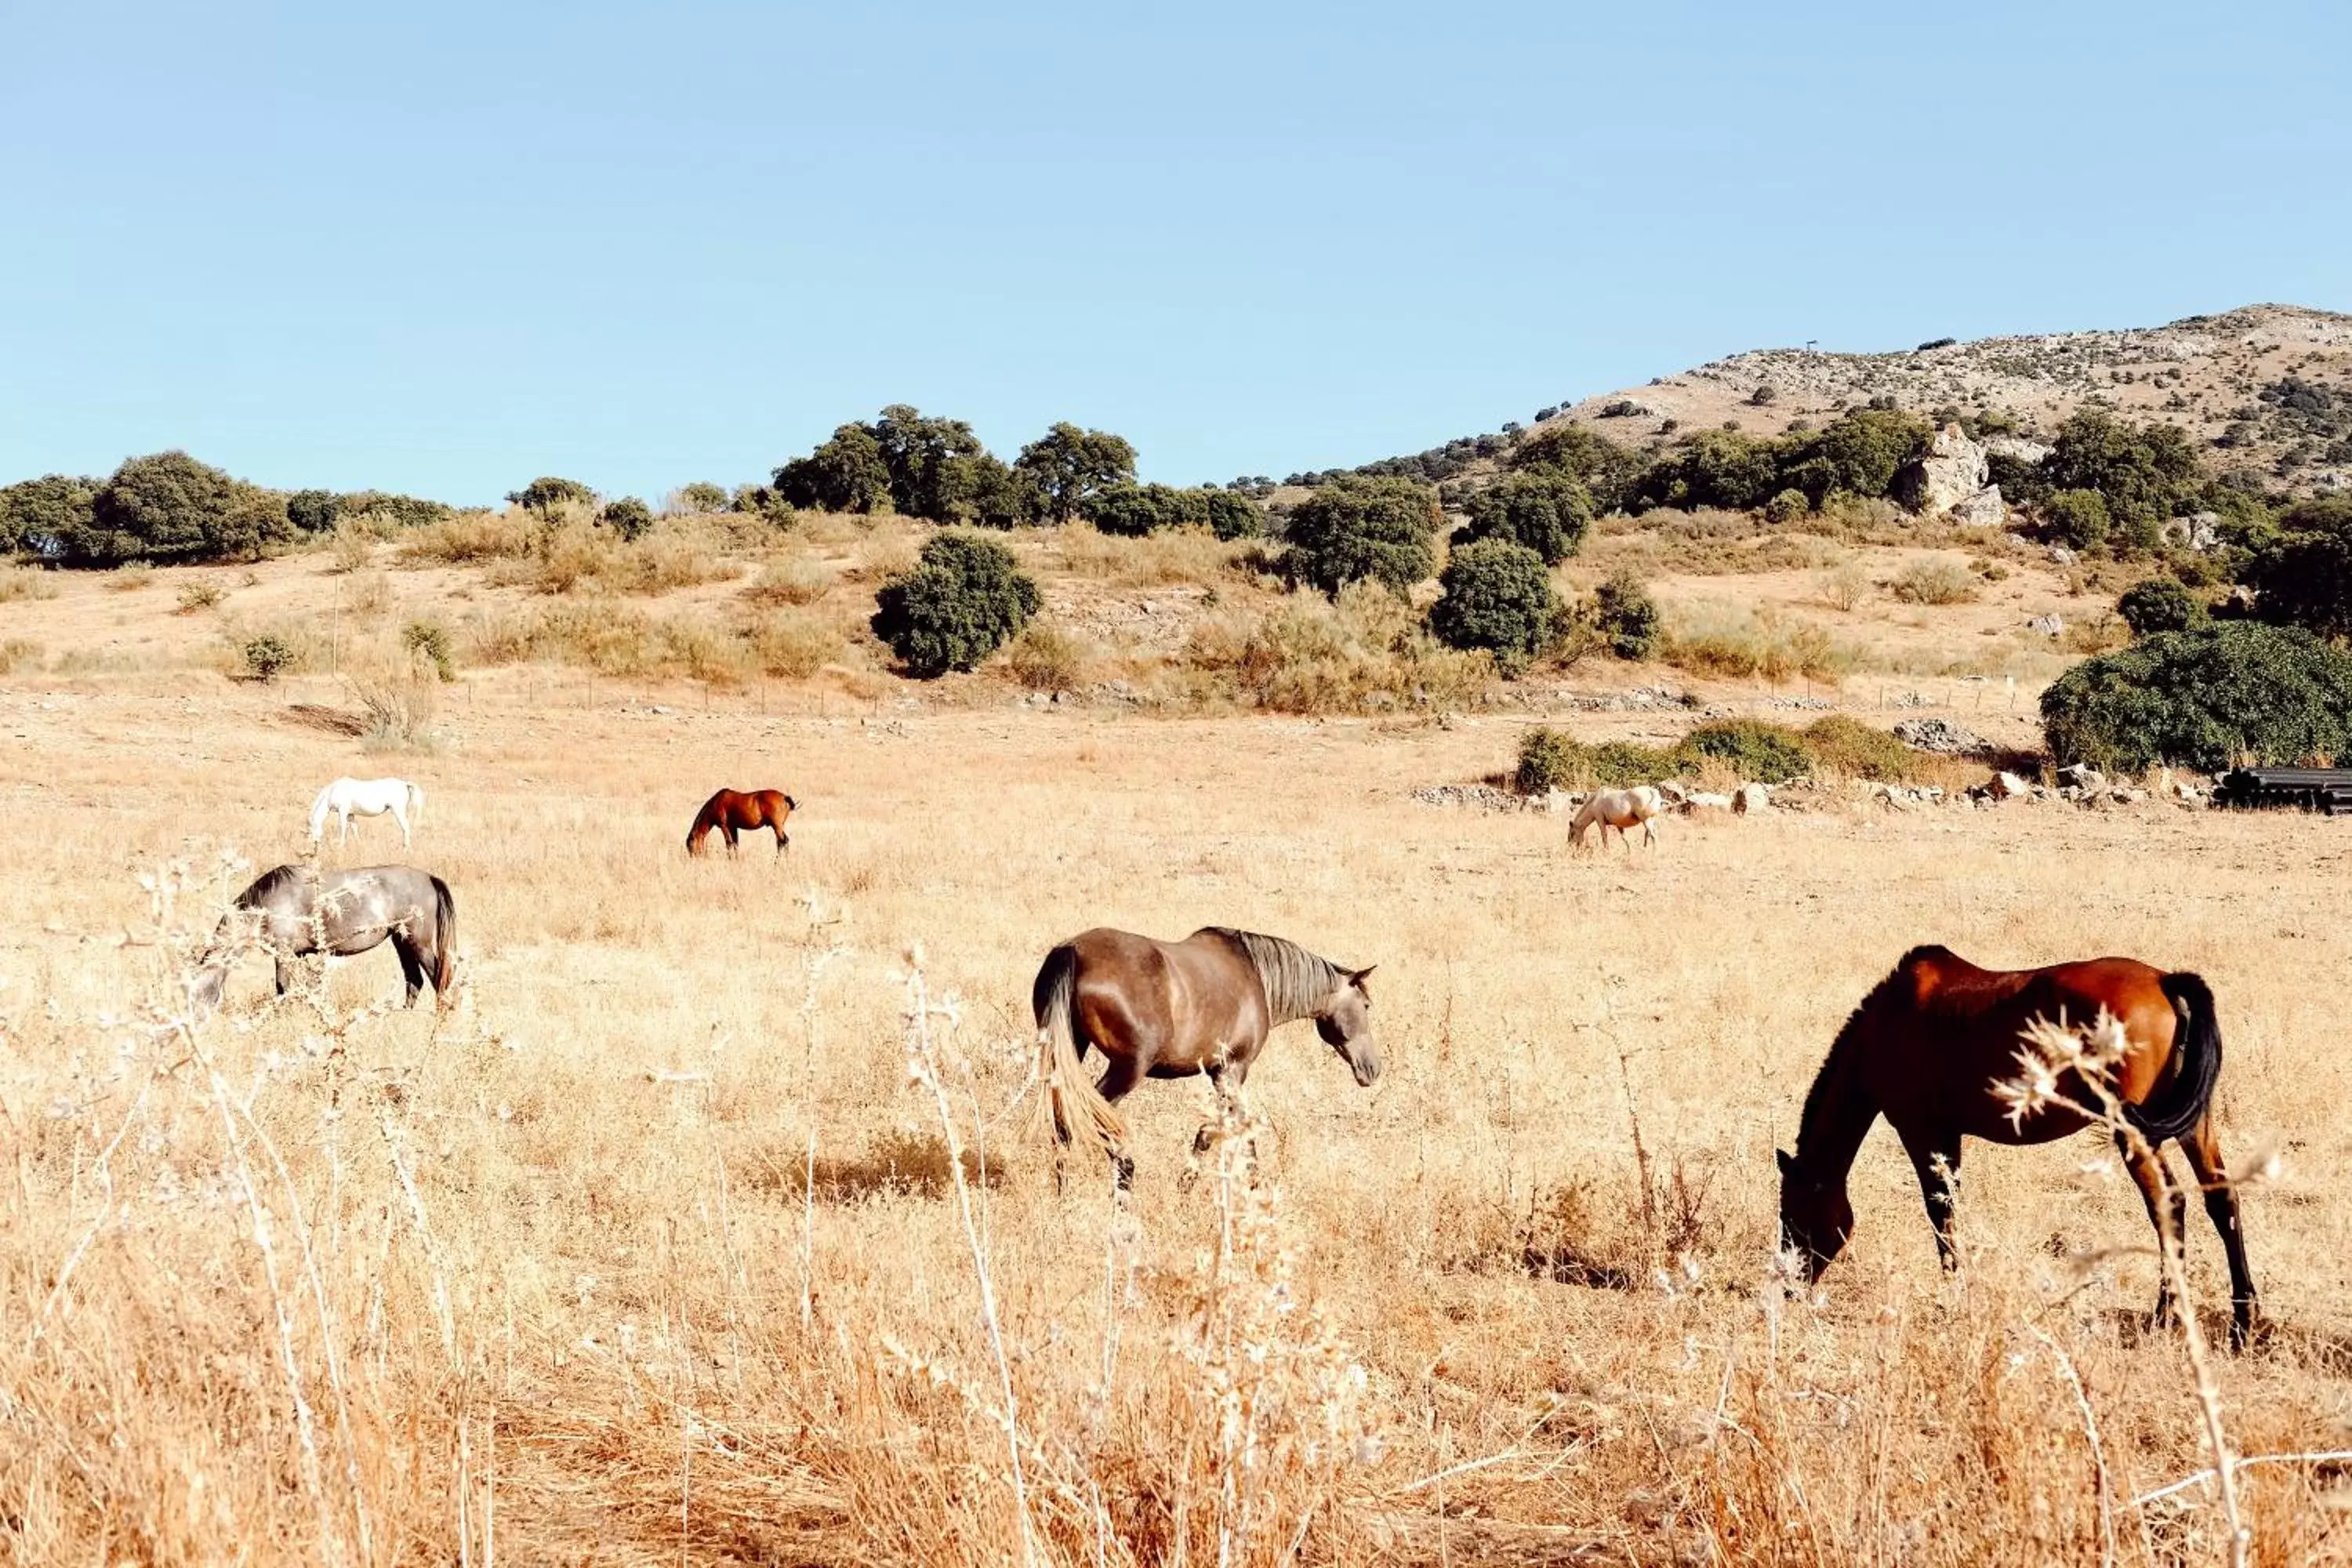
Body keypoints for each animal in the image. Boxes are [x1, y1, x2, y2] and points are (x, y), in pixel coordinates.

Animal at [193, 865, 459, 1011]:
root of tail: (429, 878)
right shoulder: (298, 955)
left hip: (418, 943)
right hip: (401, 941)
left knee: (439, 980)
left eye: (193, 995)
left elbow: (282, 987)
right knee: (414, 981)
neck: (268, 903)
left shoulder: (284, 953)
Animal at [310, 771, 426, 846]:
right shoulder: (350, 814)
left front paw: (341, 846)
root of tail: (405, 784)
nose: (315, 843)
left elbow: (343, 828)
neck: (332, 791)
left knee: (406, 827)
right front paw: (359, 844)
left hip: (398, 811)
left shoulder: (343, 811)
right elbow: (354, 829)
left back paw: (406, 849)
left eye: (311, 829)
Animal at [687, 799, 795, 860]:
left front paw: (730, 860)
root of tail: (784, 797)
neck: (716, 802)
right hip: (779, 827)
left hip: (777, 827)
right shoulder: (733, 827)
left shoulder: (724, 826)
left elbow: (729, 844)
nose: (693, 858)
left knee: (782, 842)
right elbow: (735, 844)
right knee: (783, 841)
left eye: (690, 845)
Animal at [1030, 921, 1374, 1189]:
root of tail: (1073, 951)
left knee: (1062, 1119)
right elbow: (1226, 1130)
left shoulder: (1217, 1072)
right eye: (1367, 1006)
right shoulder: (1232, 1070)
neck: (1256, 974)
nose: (1372, 1068)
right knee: (1096, 1115)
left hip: (1070, 1051)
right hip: (1127, 1069)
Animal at [1778, 945, 2258, 1354]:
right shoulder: (1947, 1138)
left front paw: (1953, 1297)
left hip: (2137, 1133)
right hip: (2194, 1123)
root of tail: (2165, 981)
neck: (1883, 1029)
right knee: (2222, 1199)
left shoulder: (1922, 1133)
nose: (1788, 1287)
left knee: (2169, 1204)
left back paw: (2165, 1315)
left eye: (1792, 1217)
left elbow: (1941, 1213)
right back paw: (2243, 1322)